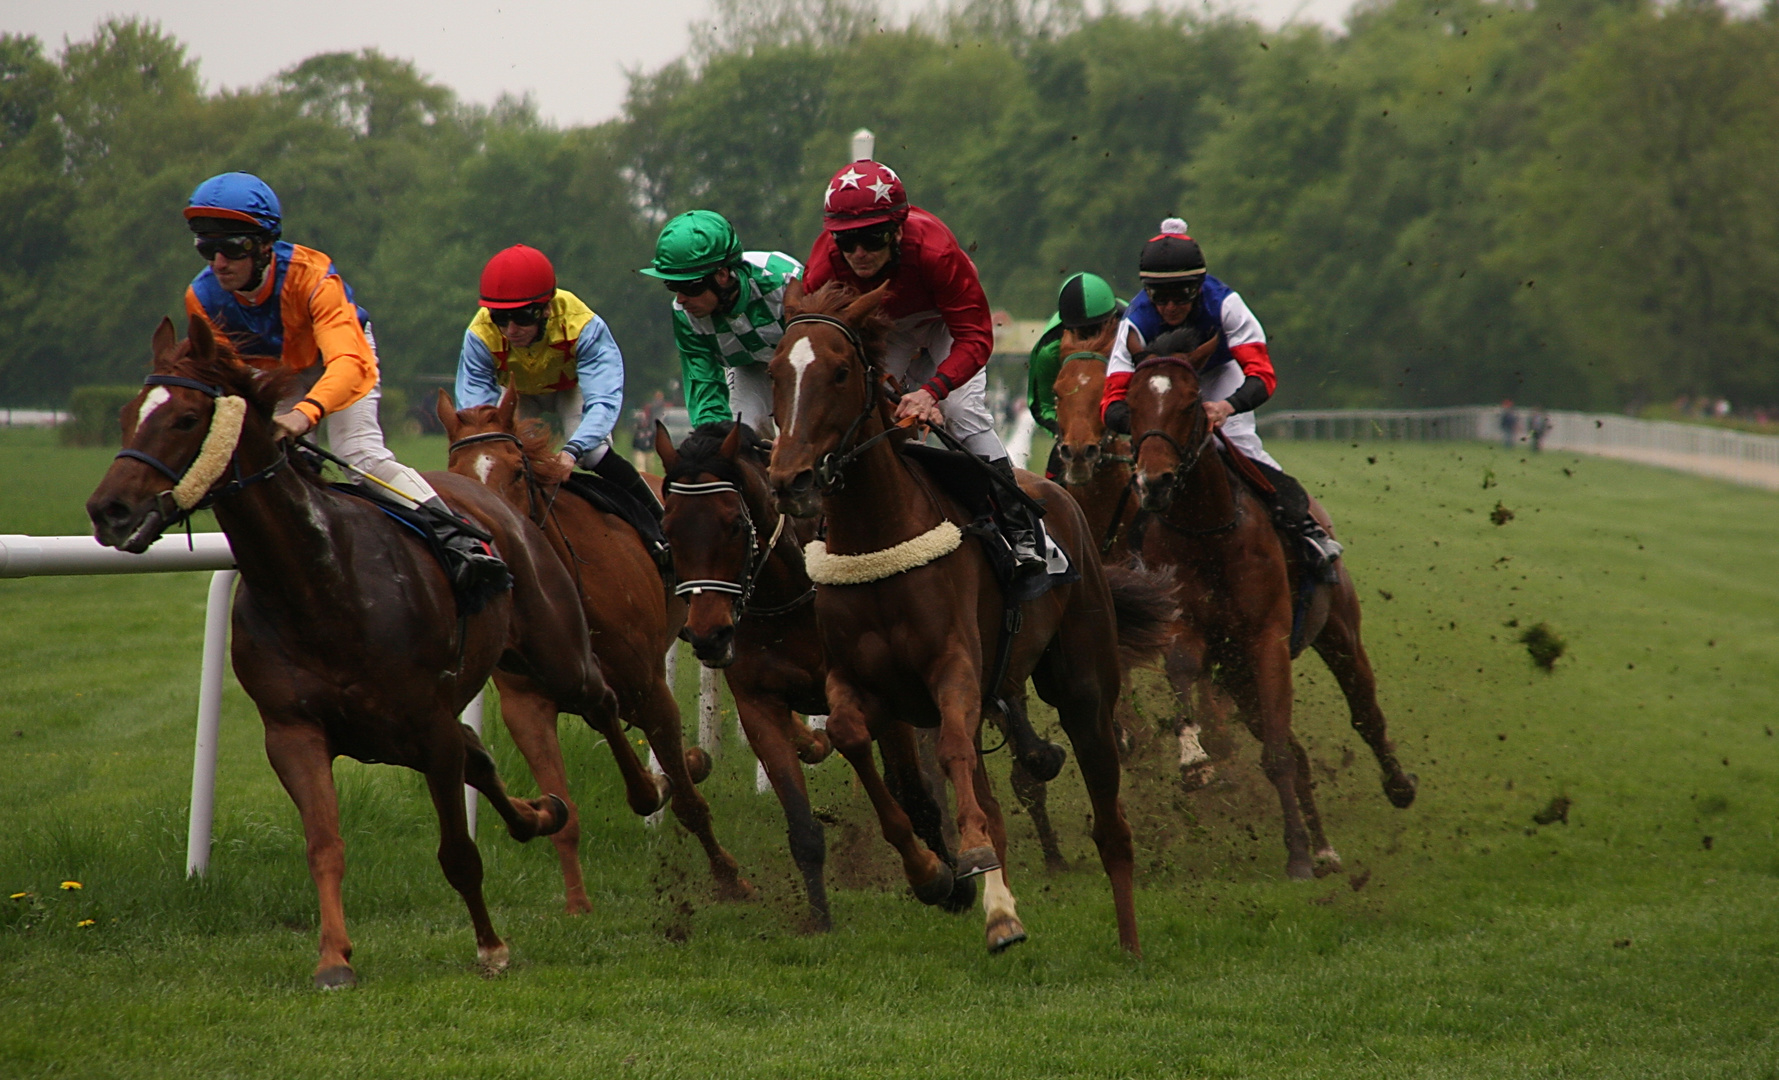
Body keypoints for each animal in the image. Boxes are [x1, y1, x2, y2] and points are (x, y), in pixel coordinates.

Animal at [88, 314, 619, 989]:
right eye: (128, 413)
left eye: (184, 417)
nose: (108, 510)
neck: (320, 584)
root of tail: (499, 502)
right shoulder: (294, 730)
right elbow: (324, 844)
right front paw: (333, 957)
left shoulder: (428, 726)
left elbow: (458, 852)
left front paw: (491, 946)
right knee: (483, 756)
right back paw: (544, 811)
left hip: (553, 654)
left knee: (601, 698)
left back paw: (658, 794)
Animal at [444, 387, 757, 903]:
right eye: (455, 475)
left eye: (516, 470)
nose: (492, 533)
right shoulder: (527, 705)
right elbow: (566, 812)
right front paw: (576, 903)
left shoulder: (649, 689)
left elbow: (685, 800)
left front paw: (730, 877)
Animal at [768, 288, 1174, 953]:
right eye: (776, 372)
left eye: (840, 371)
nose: (789, 479)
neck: (879, 534)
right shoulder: (853, 681)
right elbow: (851, 739)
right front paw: (933, 874)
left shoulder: (952, 667)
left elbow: (956, 753)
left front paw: (971, 857)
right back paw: (1003, 909)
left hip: (1084, 685)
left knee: (1110, 820)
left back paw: (1130, 944)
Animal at [1124, 336, 1416, 878]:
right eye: (1129, 405)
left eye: (1191, 402)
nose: (1154, 483)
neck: (1207, 531)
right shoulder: (1189, 628)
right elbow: (1181, 668)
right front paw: (1193, 758)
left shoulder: (1268, 640)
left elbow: (1278, 756)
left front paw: (1297, 855)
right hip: (1238, 677)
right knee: (1295, 747)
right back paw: (1324, 847)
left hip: (1338, 632)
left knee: (1364, 713)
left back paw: (1395, 788)